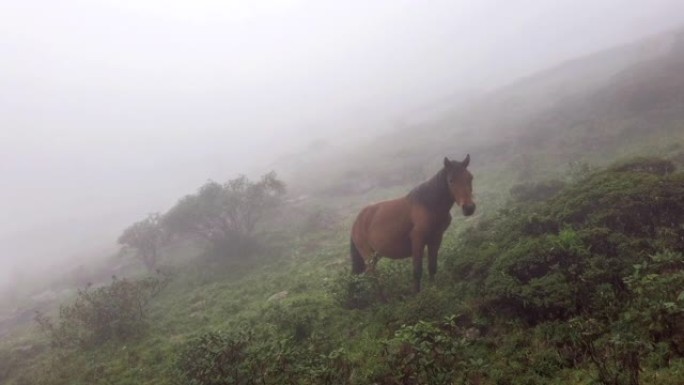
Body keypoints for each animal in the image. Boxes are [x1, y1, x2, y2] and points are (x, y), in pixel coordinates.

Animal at [350, 153, 472, 292]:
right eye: (451, 180)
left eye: (470, 178)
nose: (469, 208)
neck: (429, 206)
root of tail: (356, 223)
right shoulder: (417, 240)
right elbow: (417, 271)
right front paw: (418, 294)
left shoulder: (436, 238)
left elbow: (432, 267)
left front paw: (433, 289)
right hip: (368, 255)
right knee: (373, 276)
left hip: (376, 254)